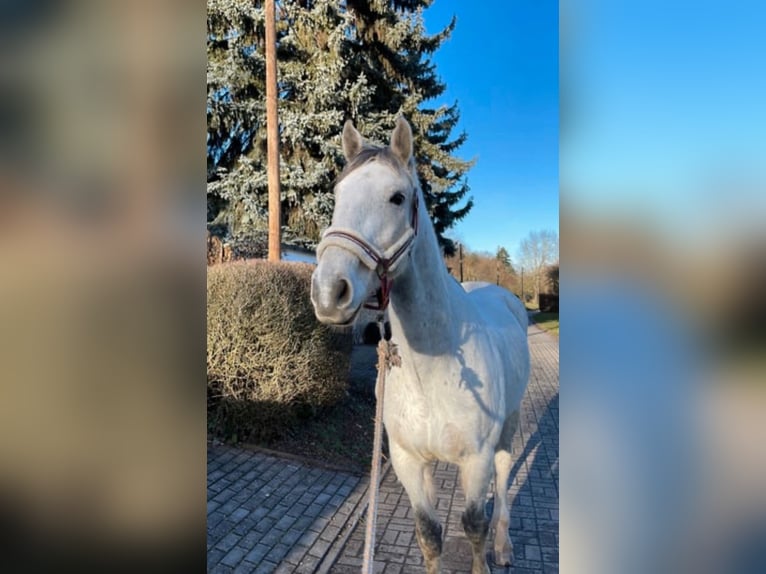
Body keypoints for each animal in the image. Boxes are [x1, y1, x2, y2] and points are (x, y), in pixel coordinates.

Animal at [308, 118, 532, 574]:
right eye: (337, 195)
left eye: (397, 197)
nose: (328, 292)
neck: (435, 366)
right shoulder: (409, 462)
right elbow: (428, 534)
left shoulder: (475, 460)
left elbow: (474, 526)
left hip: (509, 424)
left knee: (503, 478)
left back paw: (504, 547)